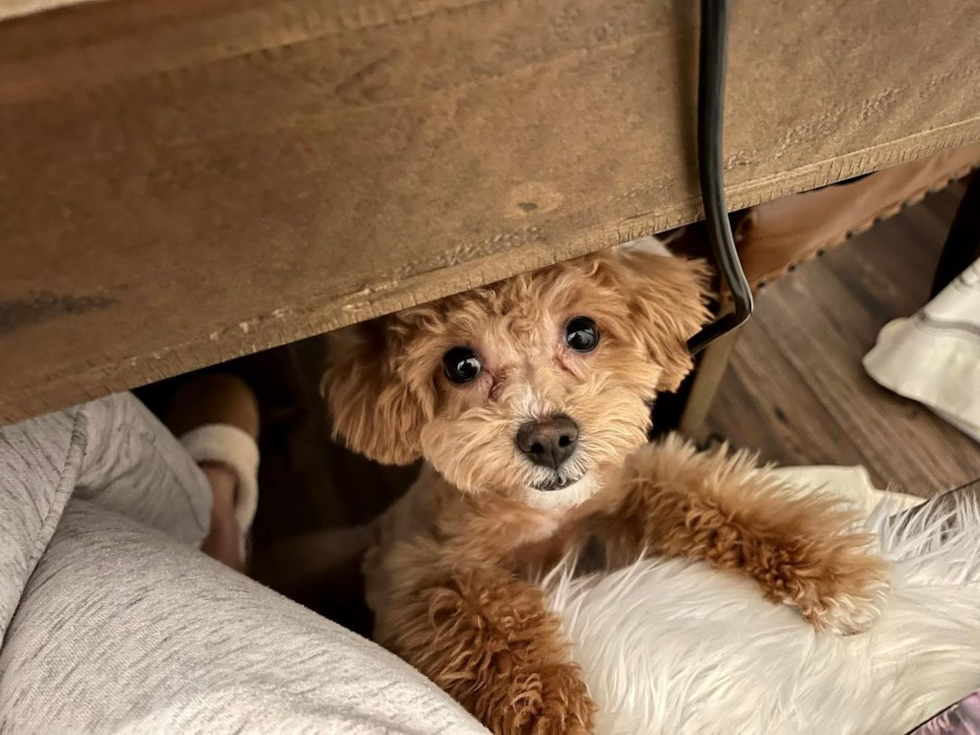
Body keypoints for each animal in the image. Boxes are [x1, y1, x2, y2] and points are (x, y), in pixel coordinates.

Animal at [326, 242, 892, 735]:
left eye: (582, 333)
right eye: (459, 364)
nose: (548, 439)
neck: (548, 514)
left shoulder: (622, 490)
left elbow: (708, 497)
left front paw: (830, 572)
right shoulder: (424, 569)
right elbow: (486, 615)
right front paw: (547, 709)